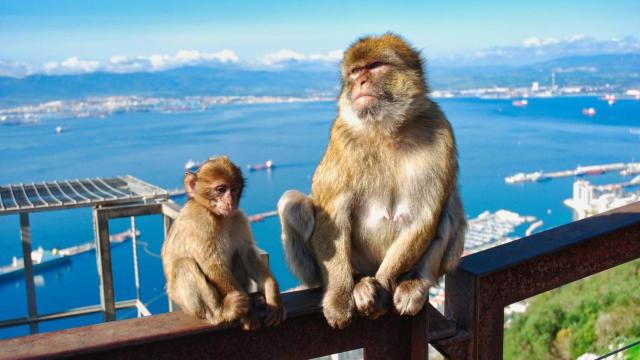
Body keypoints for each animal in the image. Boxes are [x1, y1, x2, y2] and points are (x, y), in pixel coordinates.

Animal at [161, 156, 284, 330]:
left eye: (233, 189)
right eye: (221, 189)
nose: (230, 201)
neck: (218, 216)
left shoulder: (238, 217)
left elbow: (247, 254)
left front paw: (273, 294)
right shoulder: (202, 222)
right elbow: (212, 264)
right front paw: (248, 314)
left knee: (237, 256)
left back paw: (255, 299)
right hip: (189, 306)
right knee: (183, 264)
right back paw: (222, 312)